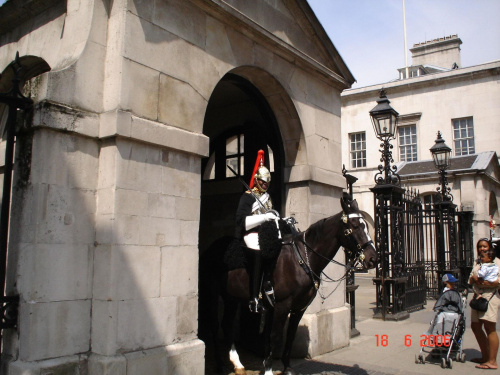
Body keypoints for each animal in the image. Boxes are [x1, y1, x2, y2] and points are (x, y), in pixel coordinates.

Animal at [198, 197, 376, 375]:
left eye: (366, 226)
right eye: (354, 226)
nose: (373, 258)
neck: (302, 259)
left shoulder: (299, 307)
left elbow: (289, 335)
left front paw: (287, 367)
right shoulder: (282, 305)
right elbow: (275, 336)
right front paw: (268, 369)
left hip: (231, 297)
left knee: (227, 324)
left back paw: (237, 364)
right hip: (213, 293)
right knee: (215, 325)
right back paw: (221, 365)